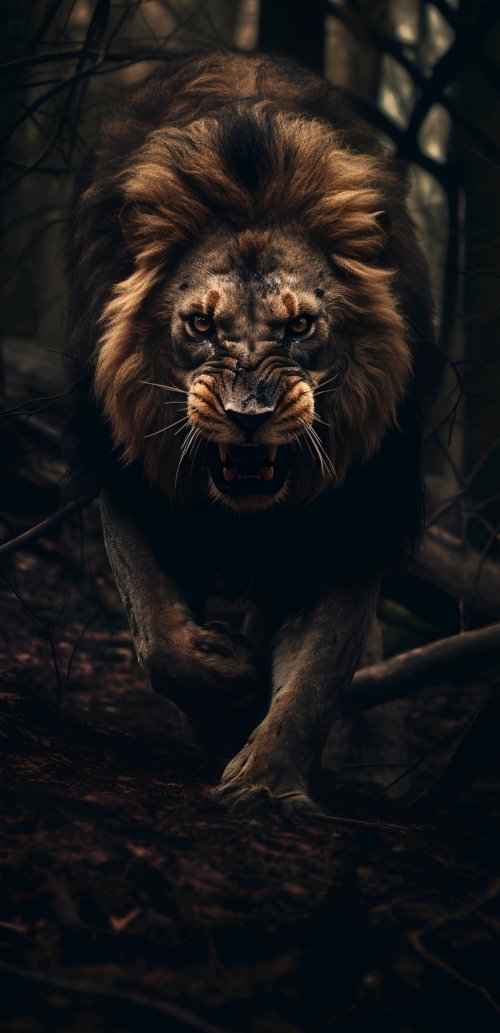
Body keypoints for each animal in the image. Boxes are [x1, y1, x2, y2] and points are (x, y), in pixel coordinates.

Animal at [67, 49, 433, 818]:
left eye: (299, 327)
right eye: (202, 325)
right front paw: (227, 688)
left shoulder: (351, 512)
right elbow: (160, 638)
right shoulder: (133, 475)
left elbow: (317, 673)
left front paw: (266, 782)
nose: (248, 416)